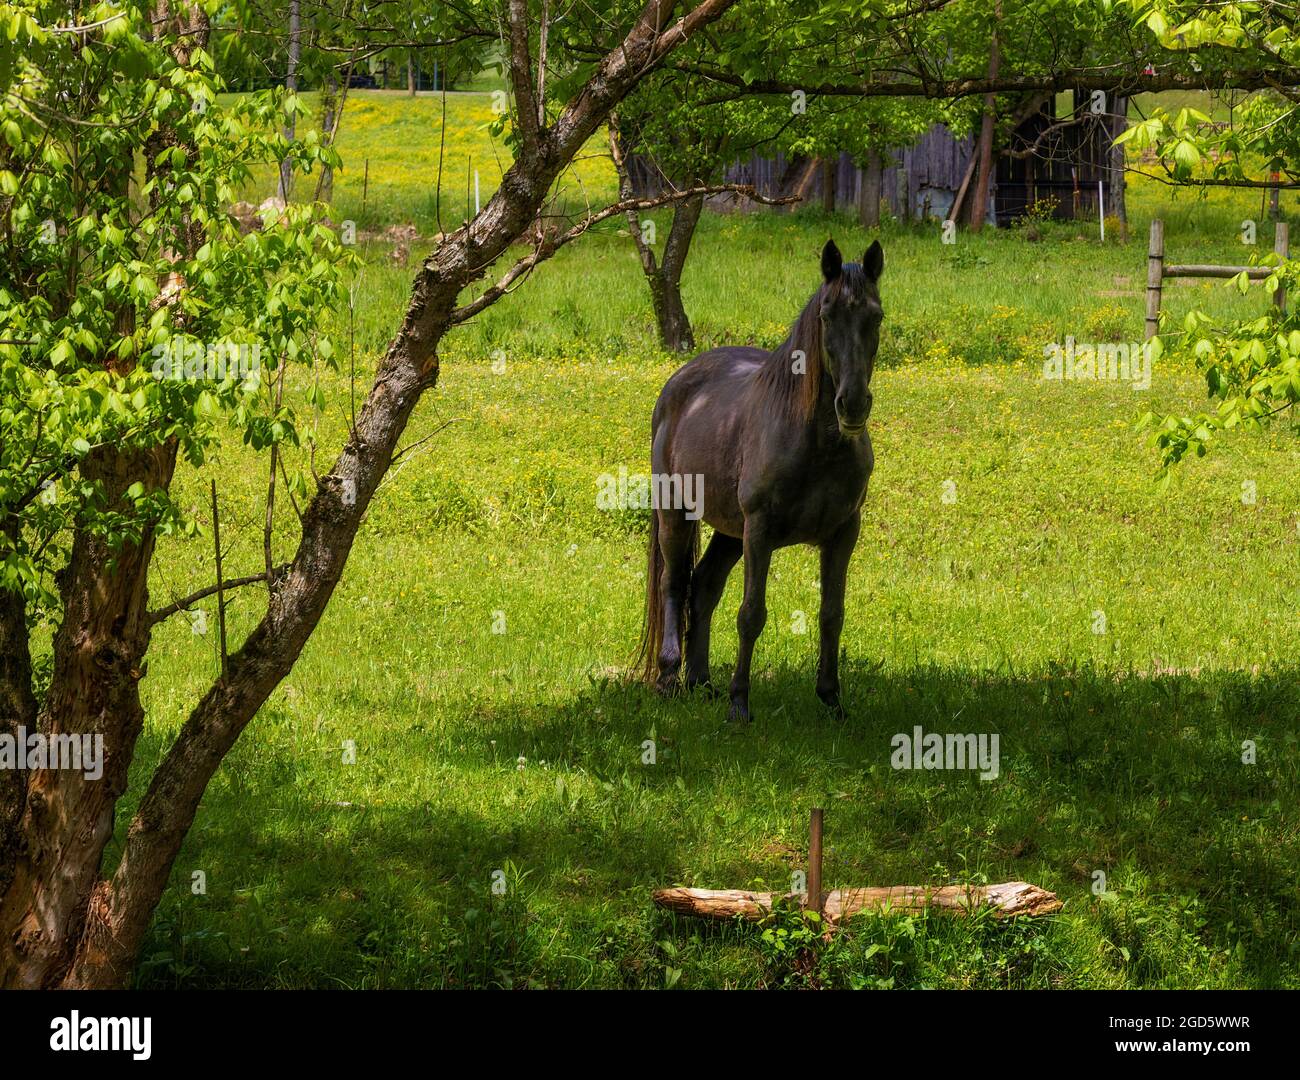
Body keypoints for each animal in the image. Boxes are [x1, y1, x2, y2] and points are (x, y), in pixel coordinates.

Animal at [637, 238, 883, 722]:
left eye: (876, 316)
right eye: (827, 315)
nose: (852, 405)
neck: (815, 442)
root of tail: (680, 381)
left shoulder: (843, 533)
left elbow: (832, 614)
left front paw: (831, 699)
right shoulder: (760, 531)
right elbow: (751, 615)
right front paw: (740, 704)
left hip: (730, 531)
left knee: (704, 586)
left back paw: (700, 681)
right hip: (678, 514)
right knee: (673, 583)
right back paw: (669, 677)